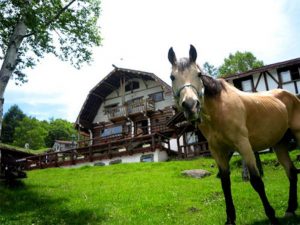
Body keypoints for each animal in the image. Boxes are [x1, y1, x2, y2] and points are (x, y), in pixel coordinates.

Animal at [168, 44, 298, 224]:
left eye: (199, 74)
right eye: (172, 77)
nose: (191, 106)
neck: (219, 109)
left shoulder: (243, 145)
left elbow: (256, 181)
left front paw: (272, 216)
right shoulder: (217, 151)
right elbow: (225, 183)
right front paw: (230, 218)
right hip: (279, 144)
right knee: (291, 173)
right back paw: (290, 209)